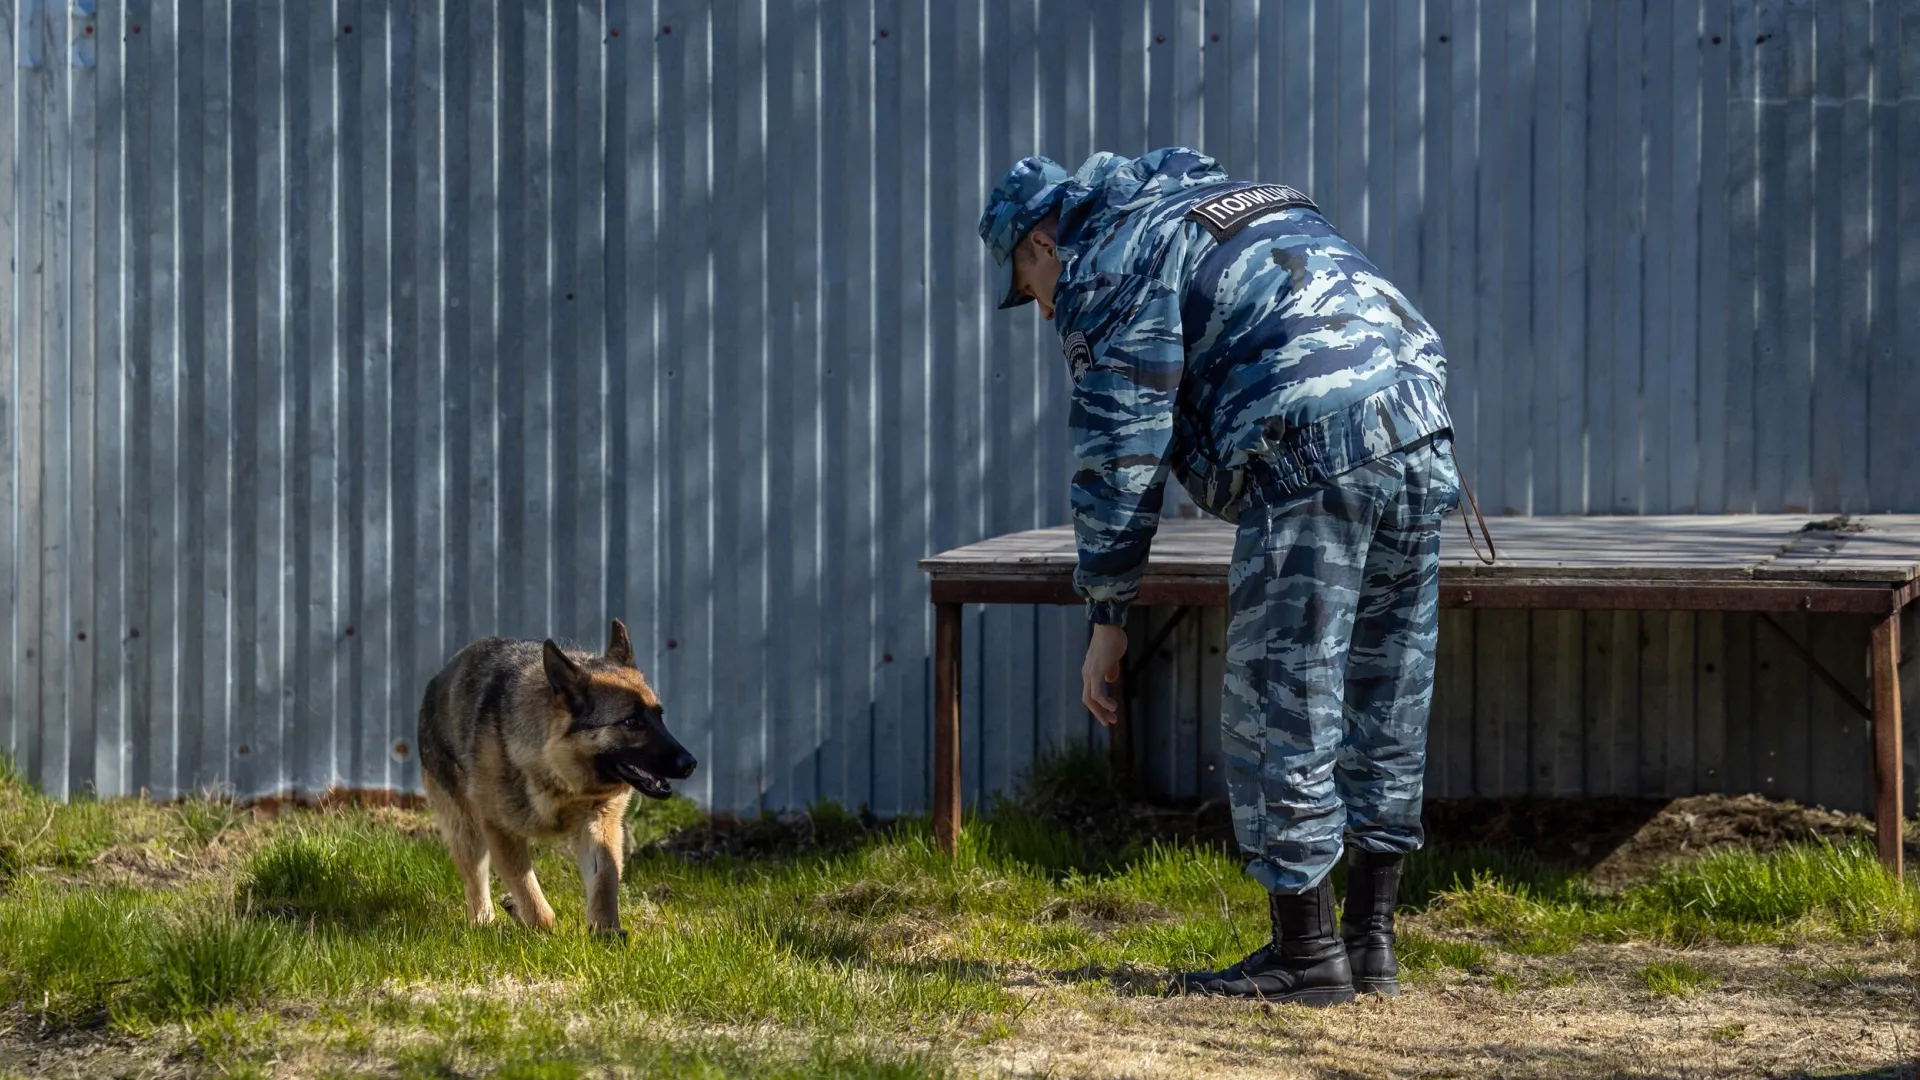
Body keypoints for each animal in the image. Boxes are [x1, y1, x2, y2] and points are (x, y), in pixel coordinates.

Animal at [420, 618, 698, 930]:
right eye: (632, 721)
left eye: (659, 716)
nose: (691, 763)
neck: (557, 773)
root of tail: (439, 677)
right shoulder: (499, 830)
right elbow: (528, 890)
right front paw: (545, 931)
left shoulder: (601, 824)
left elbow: (605, 878)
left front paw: (606, 930)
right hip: (468, 833)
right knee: (475, 879)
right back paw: (484, 921)